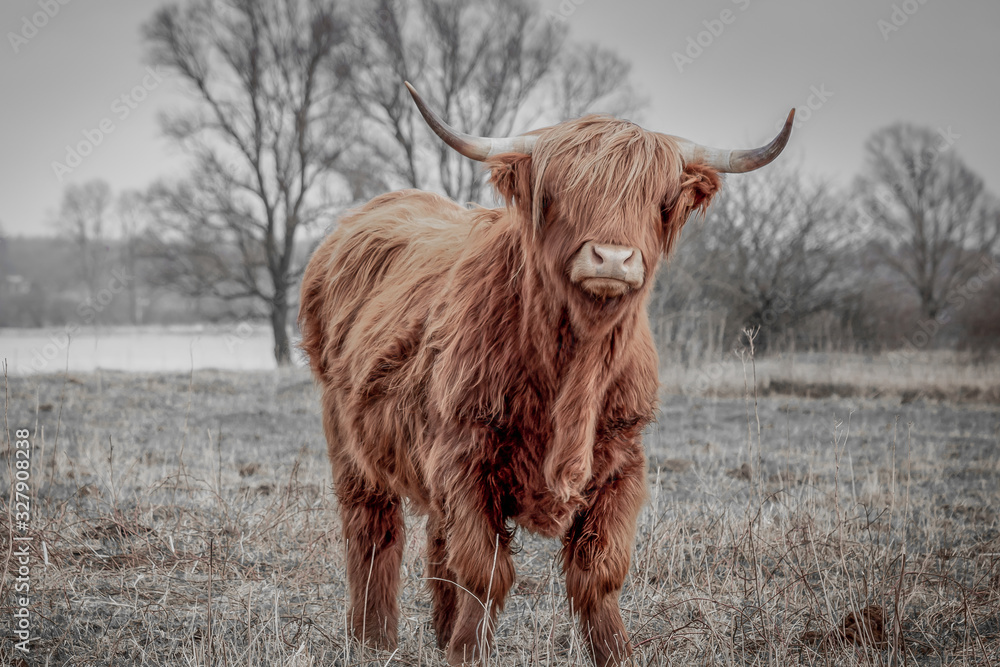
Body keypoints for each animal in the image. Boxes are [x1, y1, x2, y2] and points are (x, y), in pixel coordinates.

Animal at [299, 82, 793, 665]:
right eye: (560, 193)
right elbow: (484, 571)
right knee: (373, 530)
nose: (612, 257)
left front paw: (616, 654)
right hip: (350, 441)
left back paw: (439, 633)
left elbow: (599, 574)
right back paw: (372, 637)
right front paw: (468, 654)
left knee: (436, 541)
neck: (573, 367)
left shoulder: (622, 462)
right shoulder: (468, 457)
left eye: (660, 200)